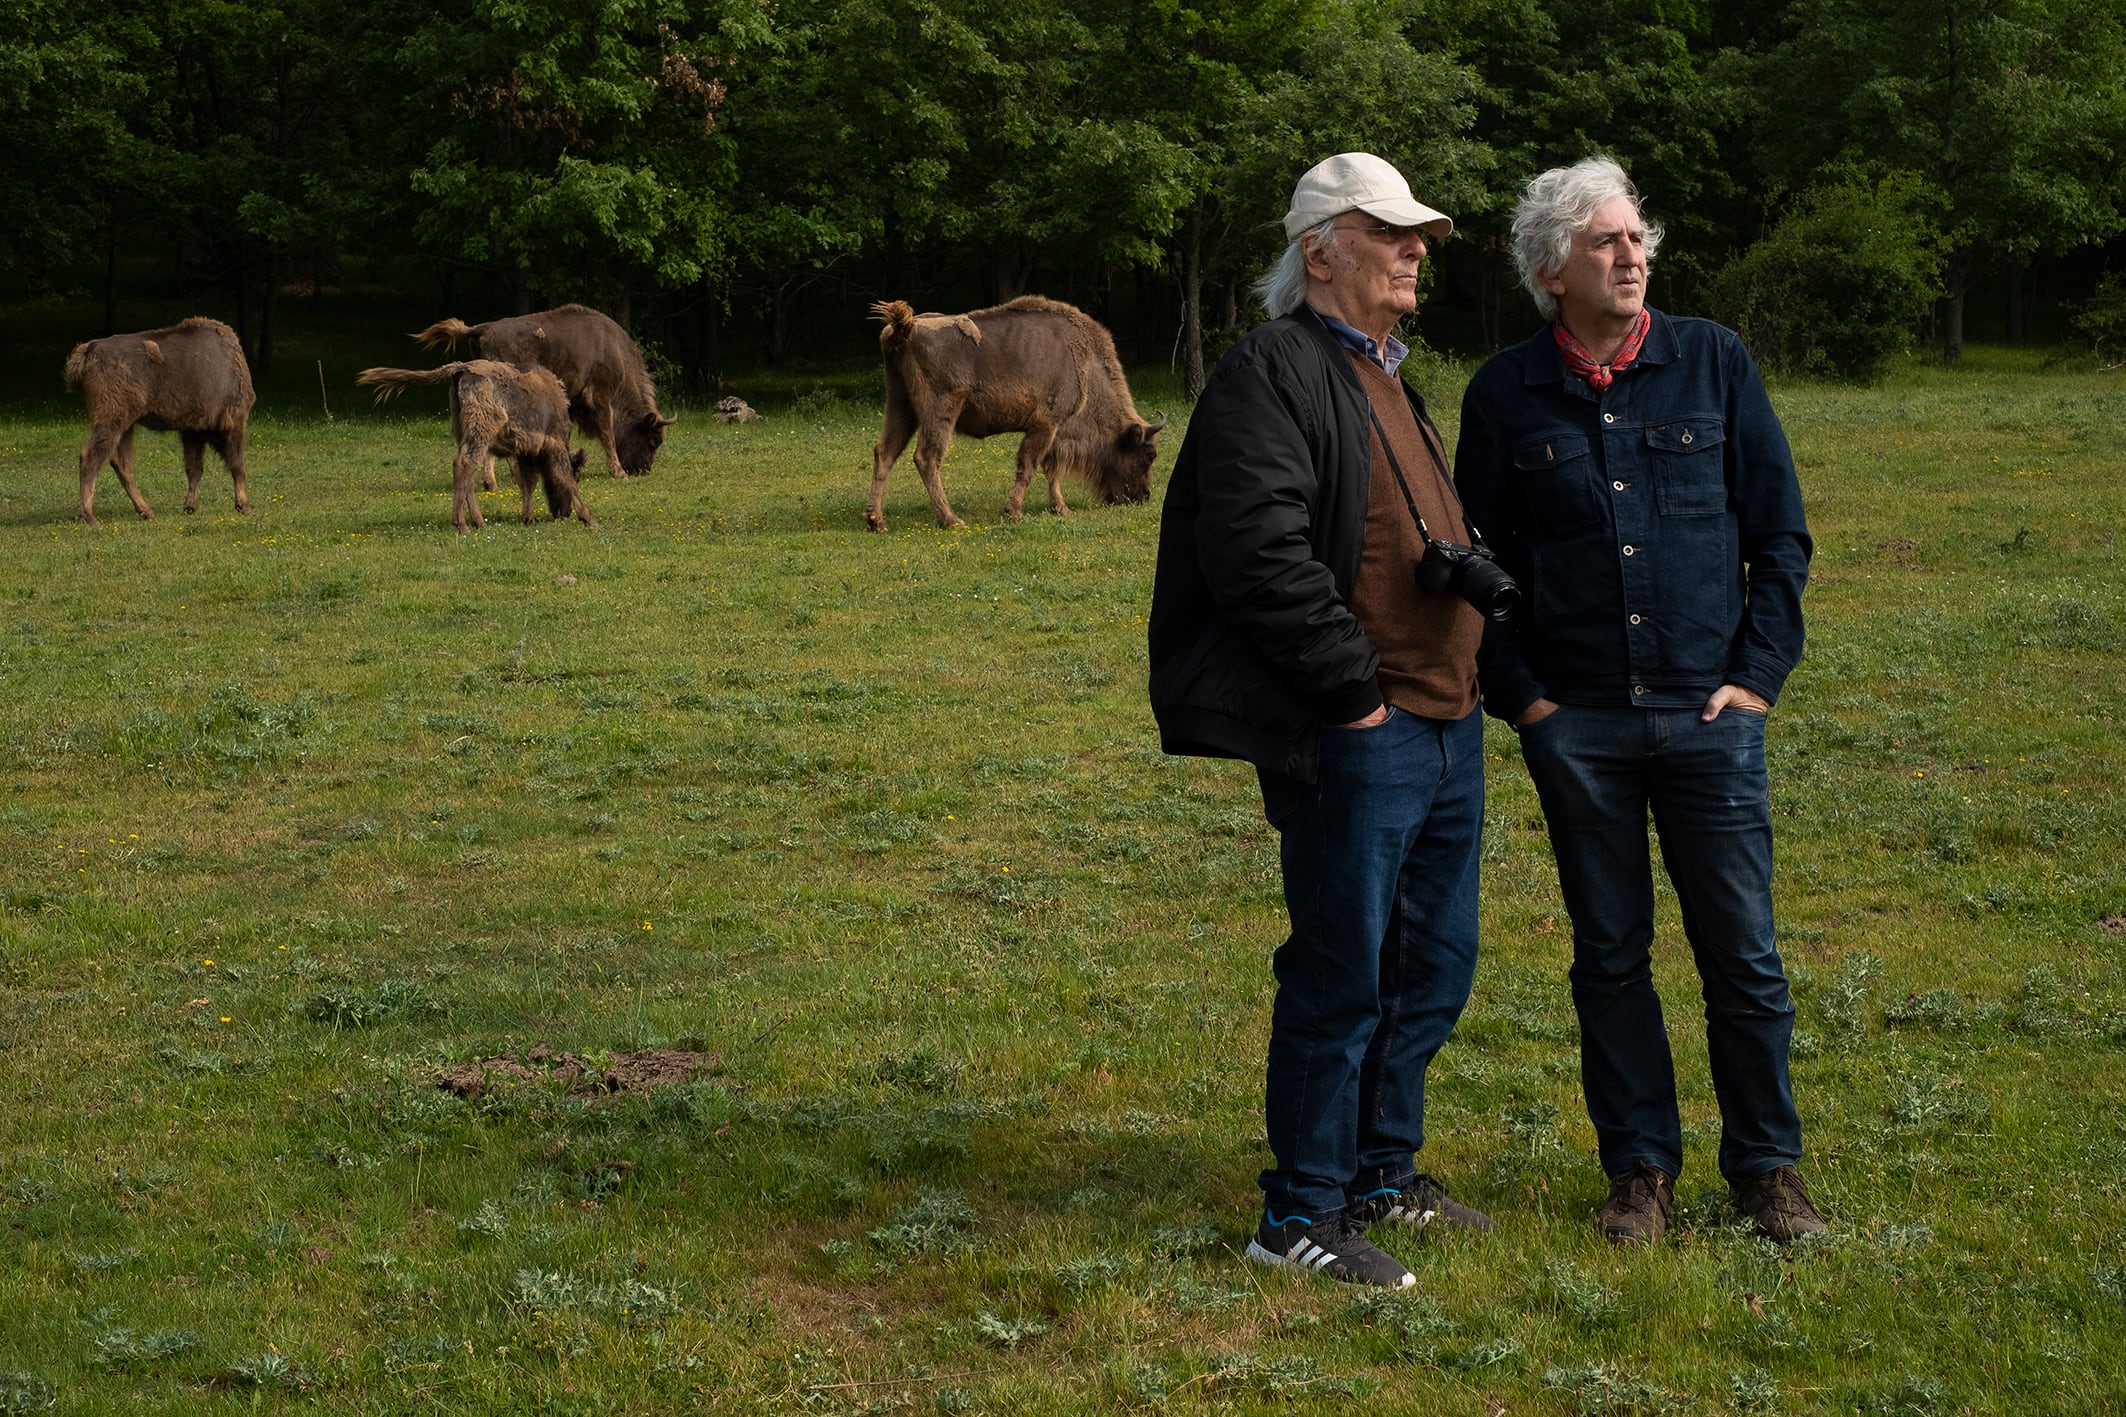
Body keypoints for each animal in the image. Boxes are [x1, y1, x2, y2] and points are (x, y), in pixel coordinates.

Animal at [64, 316, 252, 526]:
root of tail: (89, 349)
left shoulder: (193, 430)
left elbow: (194, 468)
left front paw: (190, 507)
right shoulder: (234, 421)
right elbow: (237, 465)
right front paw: (244, 506)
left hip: (125, 426)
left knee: (121, 464)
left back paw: (146, 512)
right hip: (111, 420)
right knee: (91, 458)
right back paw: (92, 517)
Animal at [352, 356, 595, 535]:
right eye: (578, 475)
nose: (562, 513)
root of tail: (462, 368)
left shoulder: (525, 452)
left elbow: (528, 482)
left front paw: (529, 517)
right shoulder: (553, 444)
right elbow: (561, 476)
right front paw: (589, 518)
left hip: (464, 432)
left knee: (465, 469)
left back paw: (477, 522)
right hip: (480, 432)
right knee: (466, 464)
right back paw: (463, 525)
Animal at [412, 301, 671, 480]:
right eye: (653, 441)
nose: (643, 469)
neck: (615, 352)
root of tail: (481, 328)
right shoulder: (600, 397)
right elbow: (607, 433)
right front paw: (618, 472)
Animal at [863, 293, 1165, 531]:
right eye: (1148, 456)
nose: (1143, 497)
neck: (1084, 364)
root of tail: (905, 328)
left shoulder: (1053, 431)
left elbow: (1050, 469)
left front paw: (1060, 508)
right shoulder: (1046, 424)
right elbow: (1030, 465)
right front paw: (1015, 511)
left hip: (901, 405)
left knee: (885, 453)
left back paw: (877, 521)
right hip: (941, 410)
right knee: (927, 457)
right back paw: (951, 519)